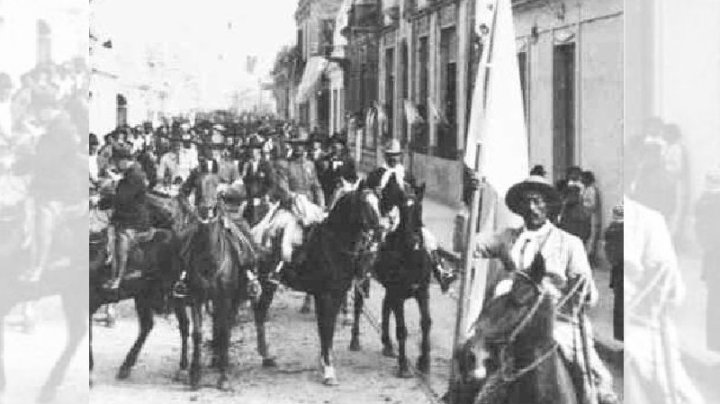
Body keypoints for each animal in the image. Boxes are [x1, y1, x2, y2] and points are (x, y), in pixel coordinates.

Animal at [280, 189, 382, 386]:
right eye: (364, 204)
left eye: (378, 203)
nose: (381, 230)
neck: (332, 244)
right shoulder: (326, 296)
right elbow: (326, 330)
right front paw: (328, 371)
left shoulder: (335, 294)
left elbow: (327, 330)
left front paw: (324, 364)